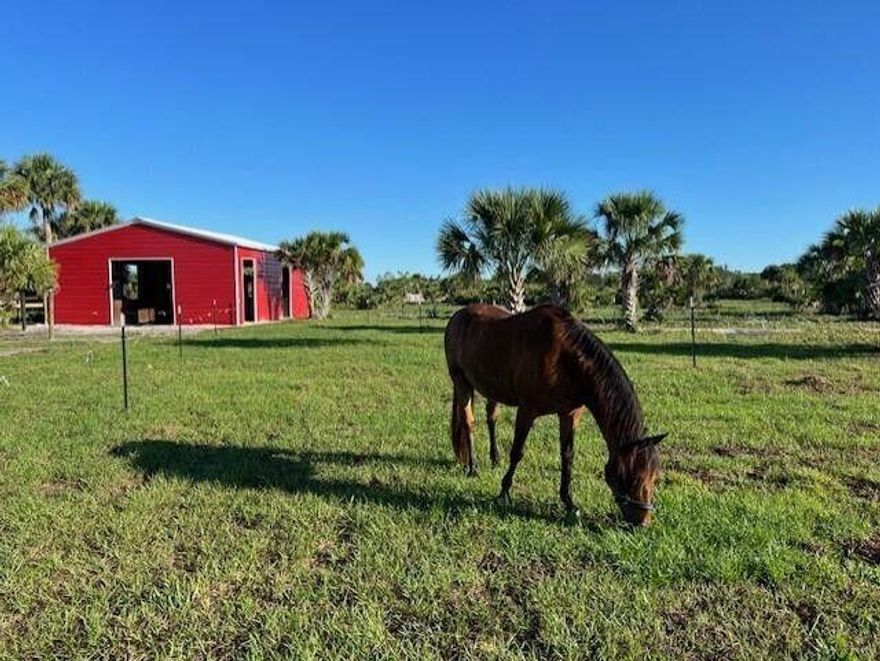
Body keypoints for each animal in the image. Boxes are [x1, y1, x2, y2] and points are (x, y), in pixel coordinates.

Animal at [444, 304, 665, 526]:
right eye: (633, 477)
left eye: (655, 477)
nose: (643, 522)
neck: (564, 359)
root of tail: (457, 316)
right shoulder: (527, 411)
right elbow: (517, 452)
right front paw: (503, 493)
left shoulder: (569, 414)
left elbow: (567, 455)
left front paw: (569, 502)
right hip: (461, 382)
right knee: (469, 423)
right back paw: (473, 467)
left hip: (491, 389)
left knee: (491, 418)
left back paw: (495, 458)